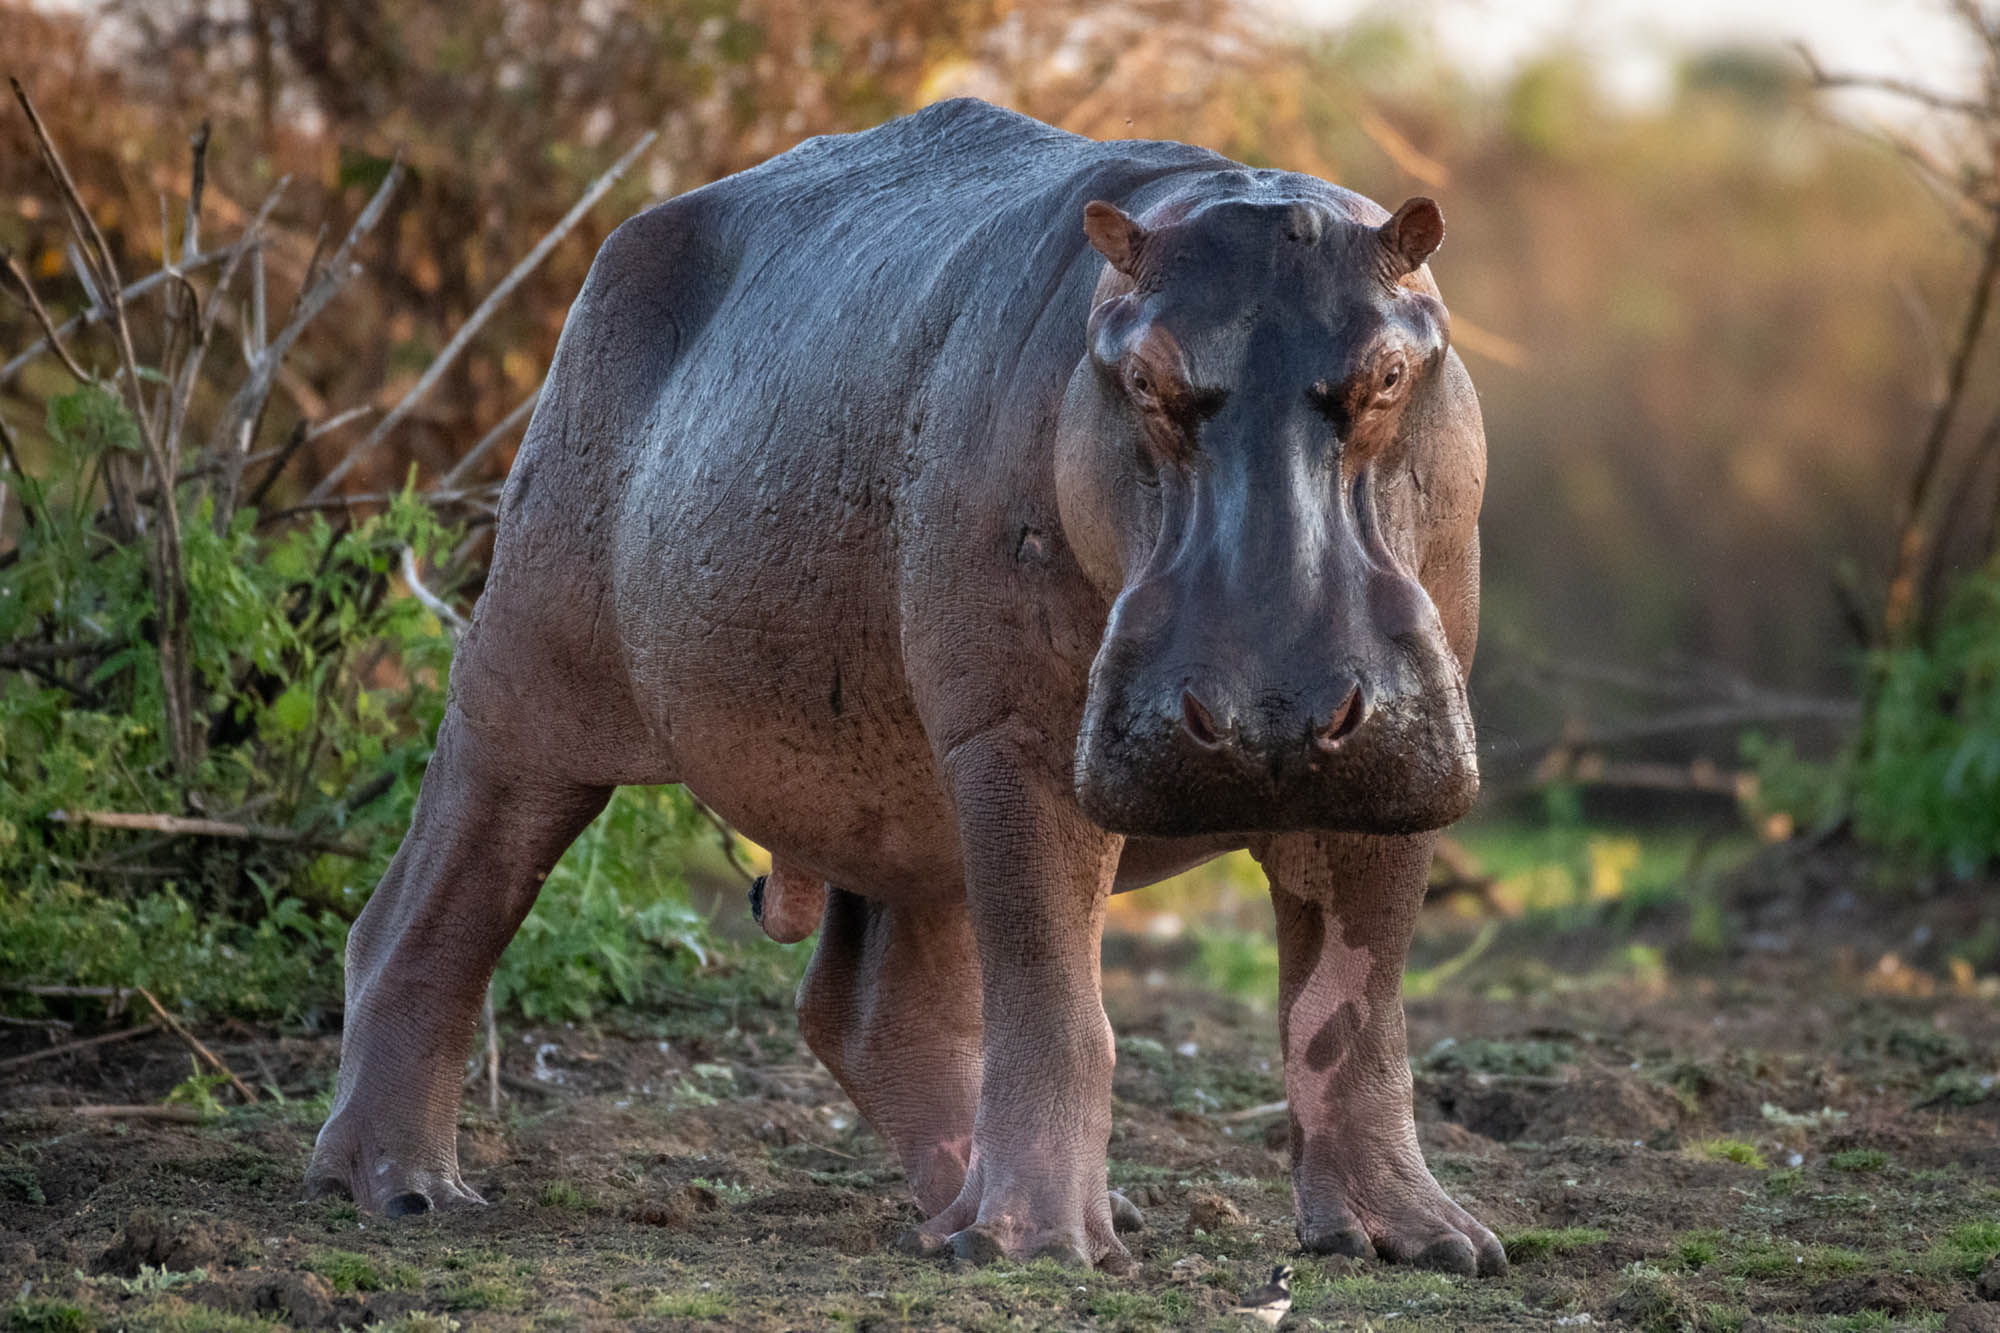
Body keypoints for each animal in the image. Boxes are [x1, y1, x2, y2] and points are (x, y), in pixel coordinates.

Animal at [308, 98, 1504, 1272]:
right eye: (1143, 378)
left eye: (1390, 373)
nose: (1267, 713)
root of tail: (627, 240)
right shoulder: (1014, 738)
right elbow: (1053, 998)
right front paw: (1037, 1250)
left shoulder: (1381, 765)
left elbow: (1354, 1010)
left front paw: (1426, 1240)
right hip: (529, 674)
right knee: (434, 903)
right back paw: (403, 1191)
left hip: (900, 788)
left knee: (870, 1004)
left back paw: (962, 1214)